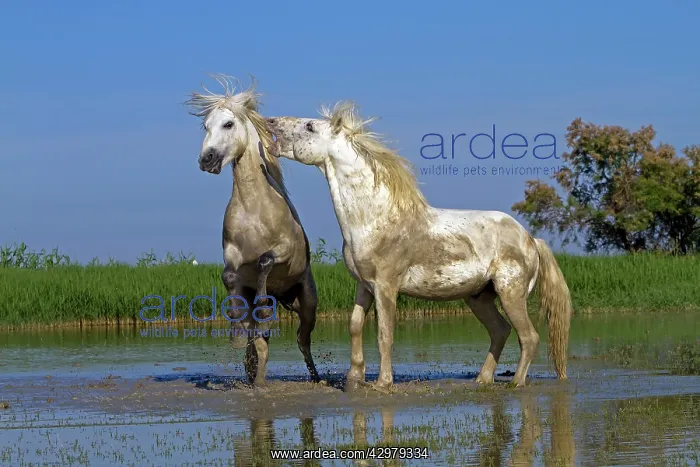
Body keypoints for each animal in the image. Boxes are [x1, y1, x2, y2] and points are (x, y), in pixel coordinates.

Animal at [185, 75, 321, 386]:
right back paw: (255, 377)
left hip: (308, 304)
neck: (254, 208)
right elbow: (230, 276)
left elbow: (265, 260)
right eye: (206, 126)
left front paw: (262, 302)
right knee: (260, 345)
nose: (207, 160)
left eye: (228, 124)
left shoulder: (286, 251)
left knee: (303, 342)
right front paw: (237, 326)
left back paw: (317, 378)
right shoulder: (231, 255)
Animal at [266, 102, 572, 392]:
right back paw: (482, 380)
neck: (375, 219)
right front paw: (354, 379)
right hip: (479, 298)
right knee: (500, 331)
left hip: (511, 294)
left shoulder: (386, 287)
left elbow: (384, 334)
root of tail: (530, 239)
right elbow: (355, 326)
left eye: (309, 127)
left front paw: (382, 383)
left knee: (529, 337)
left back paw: (516, 383)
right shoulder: (364, 286)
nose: (270, 122)